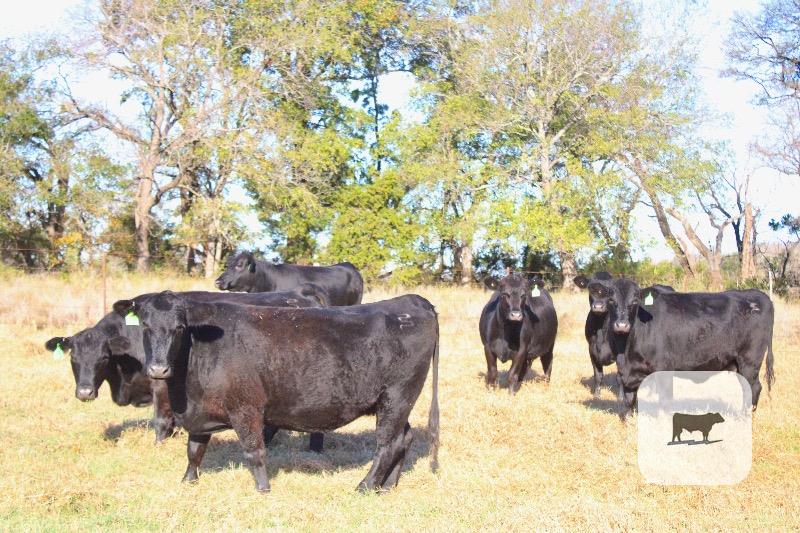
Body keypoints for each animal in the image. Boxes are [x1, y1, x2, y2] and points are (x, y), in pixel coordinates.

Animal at [44, 284, 329, 447]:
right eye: (73, 358)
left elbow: (161, 419)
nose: (84, 393)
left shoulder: (160, 383)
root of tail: (302, 294)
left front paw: (159, 445)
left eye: (103, 358)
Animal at [111, 292, 440, 493]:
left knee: (387, 444)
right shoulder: (200, 412)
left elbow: (254, 451)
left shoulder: (246, 409)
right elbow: (195, 450)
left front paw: (262, 489)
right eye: (145, 325)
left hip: (398, 396)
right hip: (393, 402)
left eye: (180, 327)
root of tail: (413, 301)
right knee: (403, 438)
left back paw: (365, 485)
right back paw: (388, 485)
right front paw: (188, 481)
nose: (158, 369)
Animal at [589, 277, 775, 415]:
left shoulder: (664, 370)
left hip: (749, 361)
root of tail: (758, 295)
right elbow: (628, 402)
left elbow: (665, 402)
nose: (622, 325)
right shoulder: (628, 372)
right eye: (611, 300)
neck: (626, 351)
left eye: (634, 301)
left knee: (754, 387)